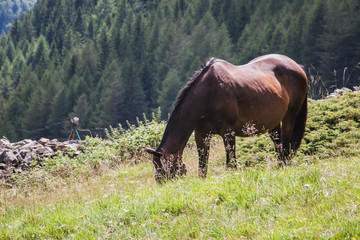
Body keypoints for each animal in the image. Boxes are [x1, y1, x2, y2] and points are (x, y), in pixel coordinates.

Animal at [145, 54, 308, 182]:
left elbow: (231, 162)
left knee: (285, 146)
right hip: (272, 124)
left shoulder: (228, 132)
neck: (207, 94)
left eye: (164, 170)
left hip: (289, 117)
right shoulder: (201, 134)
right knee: (279, 146)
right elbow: (202, 165)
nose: (164, 186)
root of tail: (298, 67)